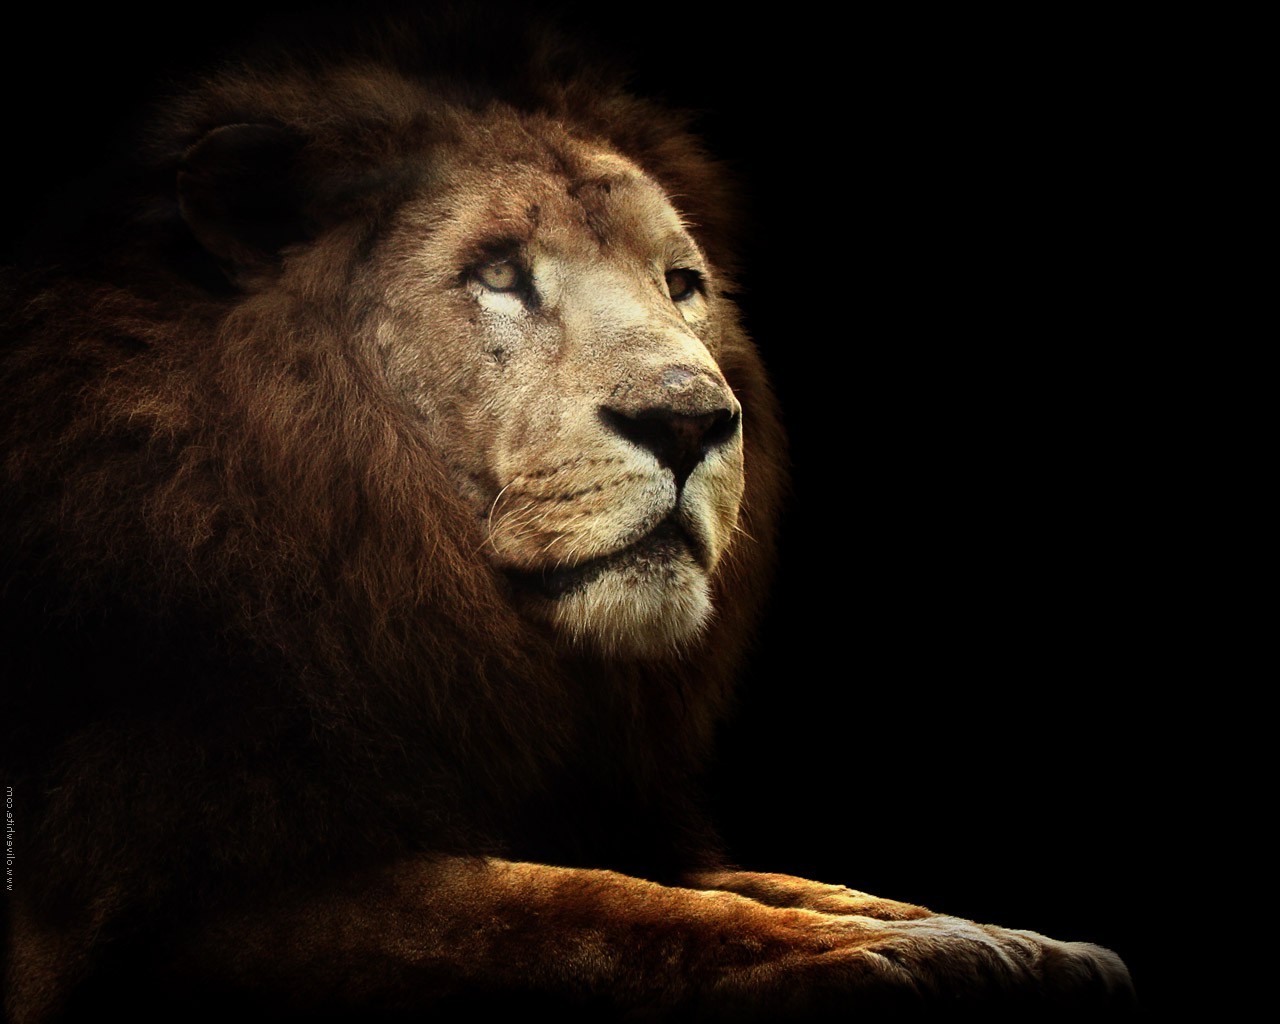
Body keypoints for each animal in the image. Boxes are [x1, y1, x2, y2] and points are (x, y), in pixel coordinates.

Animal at [0, 15, 1133, 1020]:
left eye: (681, 284)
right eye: (498, 274)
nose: (690, 420)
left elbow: (758, 880)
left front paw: (990, 935)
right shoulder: (165, 910)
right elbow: (570, 906)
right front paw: (884, 956)